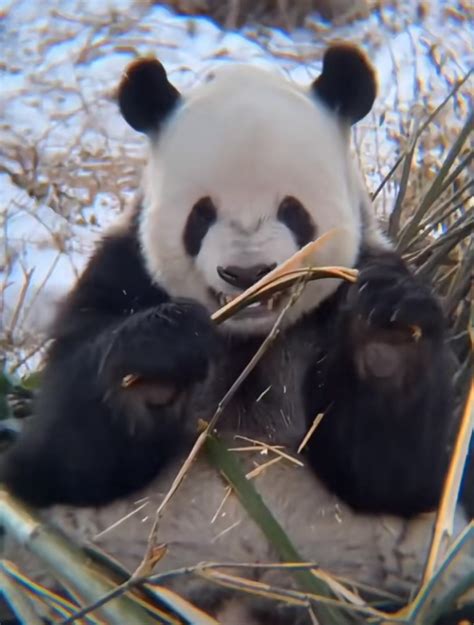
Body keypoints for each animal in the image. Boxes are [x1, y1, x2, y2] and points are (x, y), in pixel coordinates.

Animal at [0, 44, 474, 624]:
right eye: (202, 214)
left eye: (292, 210)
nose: (247, 274)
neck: (251, 335)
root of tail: (240, 595)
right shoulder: (119, 275)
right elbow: (64, 450)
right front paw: (159, 357)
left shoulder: (359, 275)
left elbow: (396, 475)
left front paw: (386, 336)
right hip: (77, 542)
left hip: (395, 556)